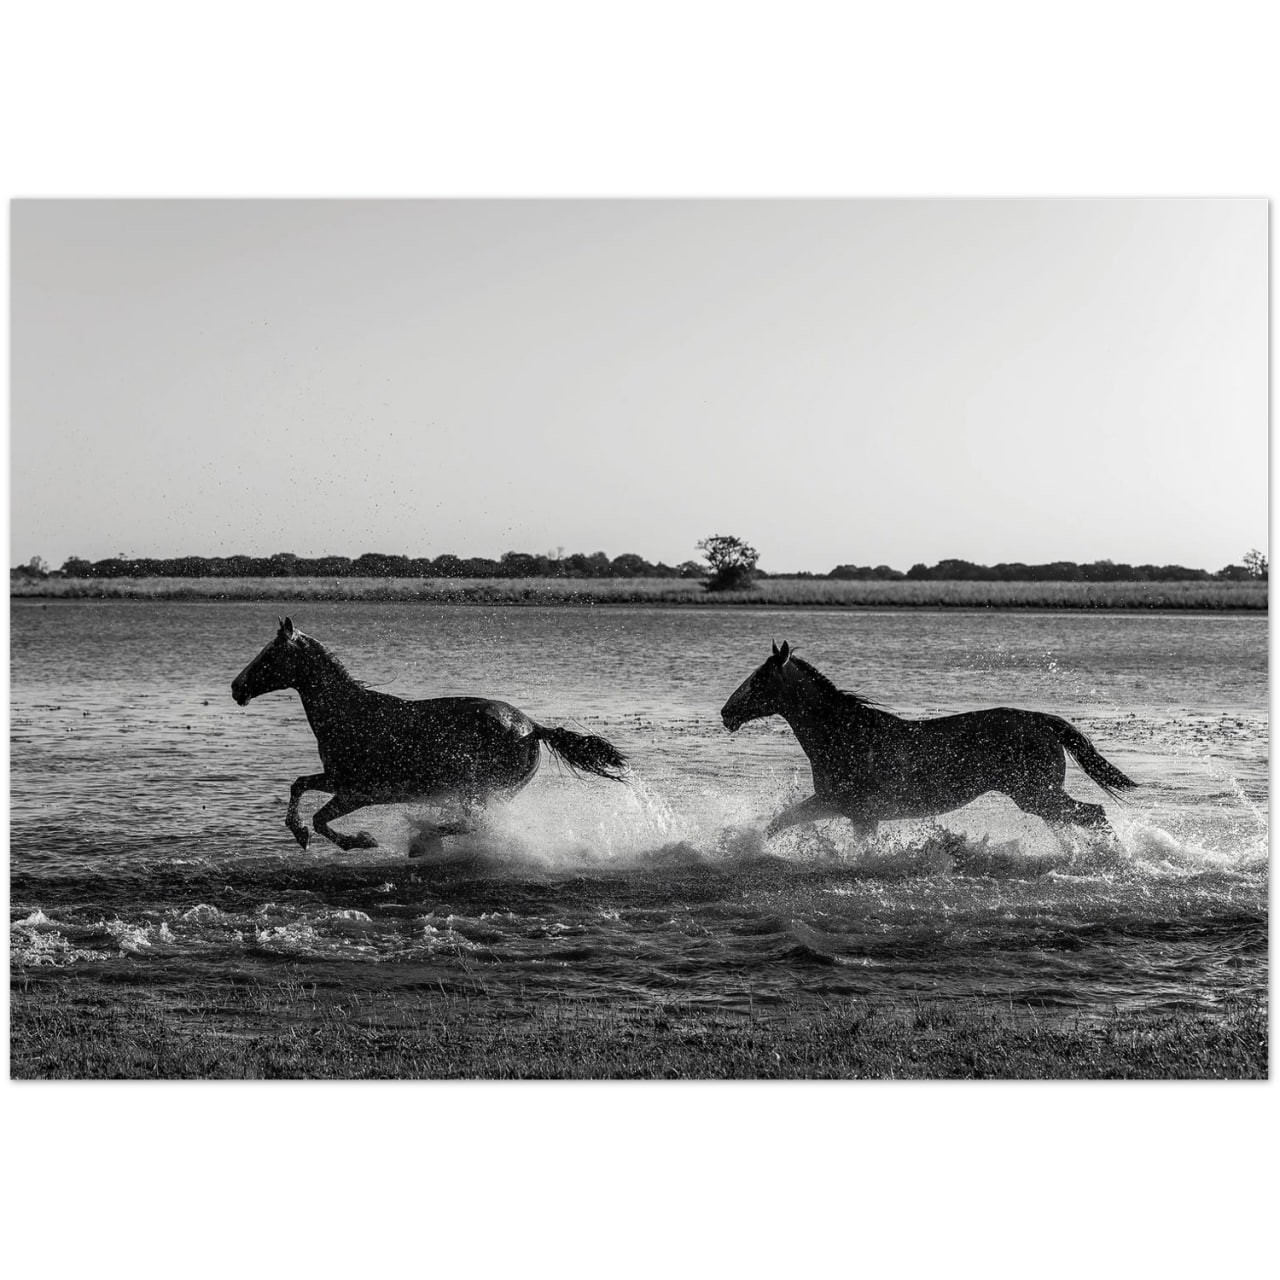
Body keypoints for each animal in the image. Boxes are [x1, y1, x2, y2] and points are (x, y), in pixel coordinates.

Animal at [231, 617, 627, 854]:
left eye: (269, 655)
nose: (236, 688)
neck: (350, 715)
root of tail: (532, 728)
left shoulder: (358, 792)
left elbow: (318, 818)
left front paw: (359, 840)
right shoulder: (337, 781)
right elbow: (298, 785)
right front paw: (300, 833)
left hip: (482, 790)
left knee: (473, 824)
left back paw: (419, 840)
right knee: (474, 824)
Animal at [720, 640, 1137, 843]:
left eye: (759, 681)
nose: (726, 713)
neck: (844, 735)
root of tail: (1044, 722)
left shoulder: (856, 812)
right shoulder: (840, 807)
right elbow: (778, 823)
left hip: (1036, 794)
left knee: (1096, 814)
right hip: (1040, 798)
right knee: (1077, 821)